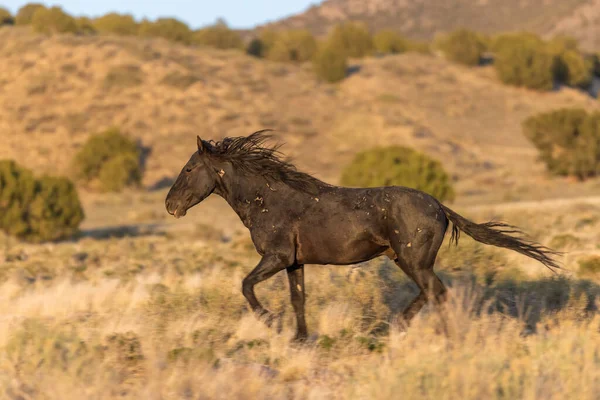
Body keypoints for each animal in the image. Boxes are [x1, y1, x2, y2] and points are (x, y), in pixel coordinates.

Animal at [163, 130, 556, 340]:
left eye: (189, 168)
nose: (170, 205)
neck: (269, 199)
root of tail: (440, 207)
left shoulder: (275, 257)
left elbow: (246, 285)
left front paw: (272, 323)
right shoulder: (293, 262)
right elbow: (298, 299)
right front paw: (300, 338)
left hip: (412, 260)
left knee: (436, 292)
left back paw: (418, 332)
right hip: (404, 260)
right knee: (434, 293)